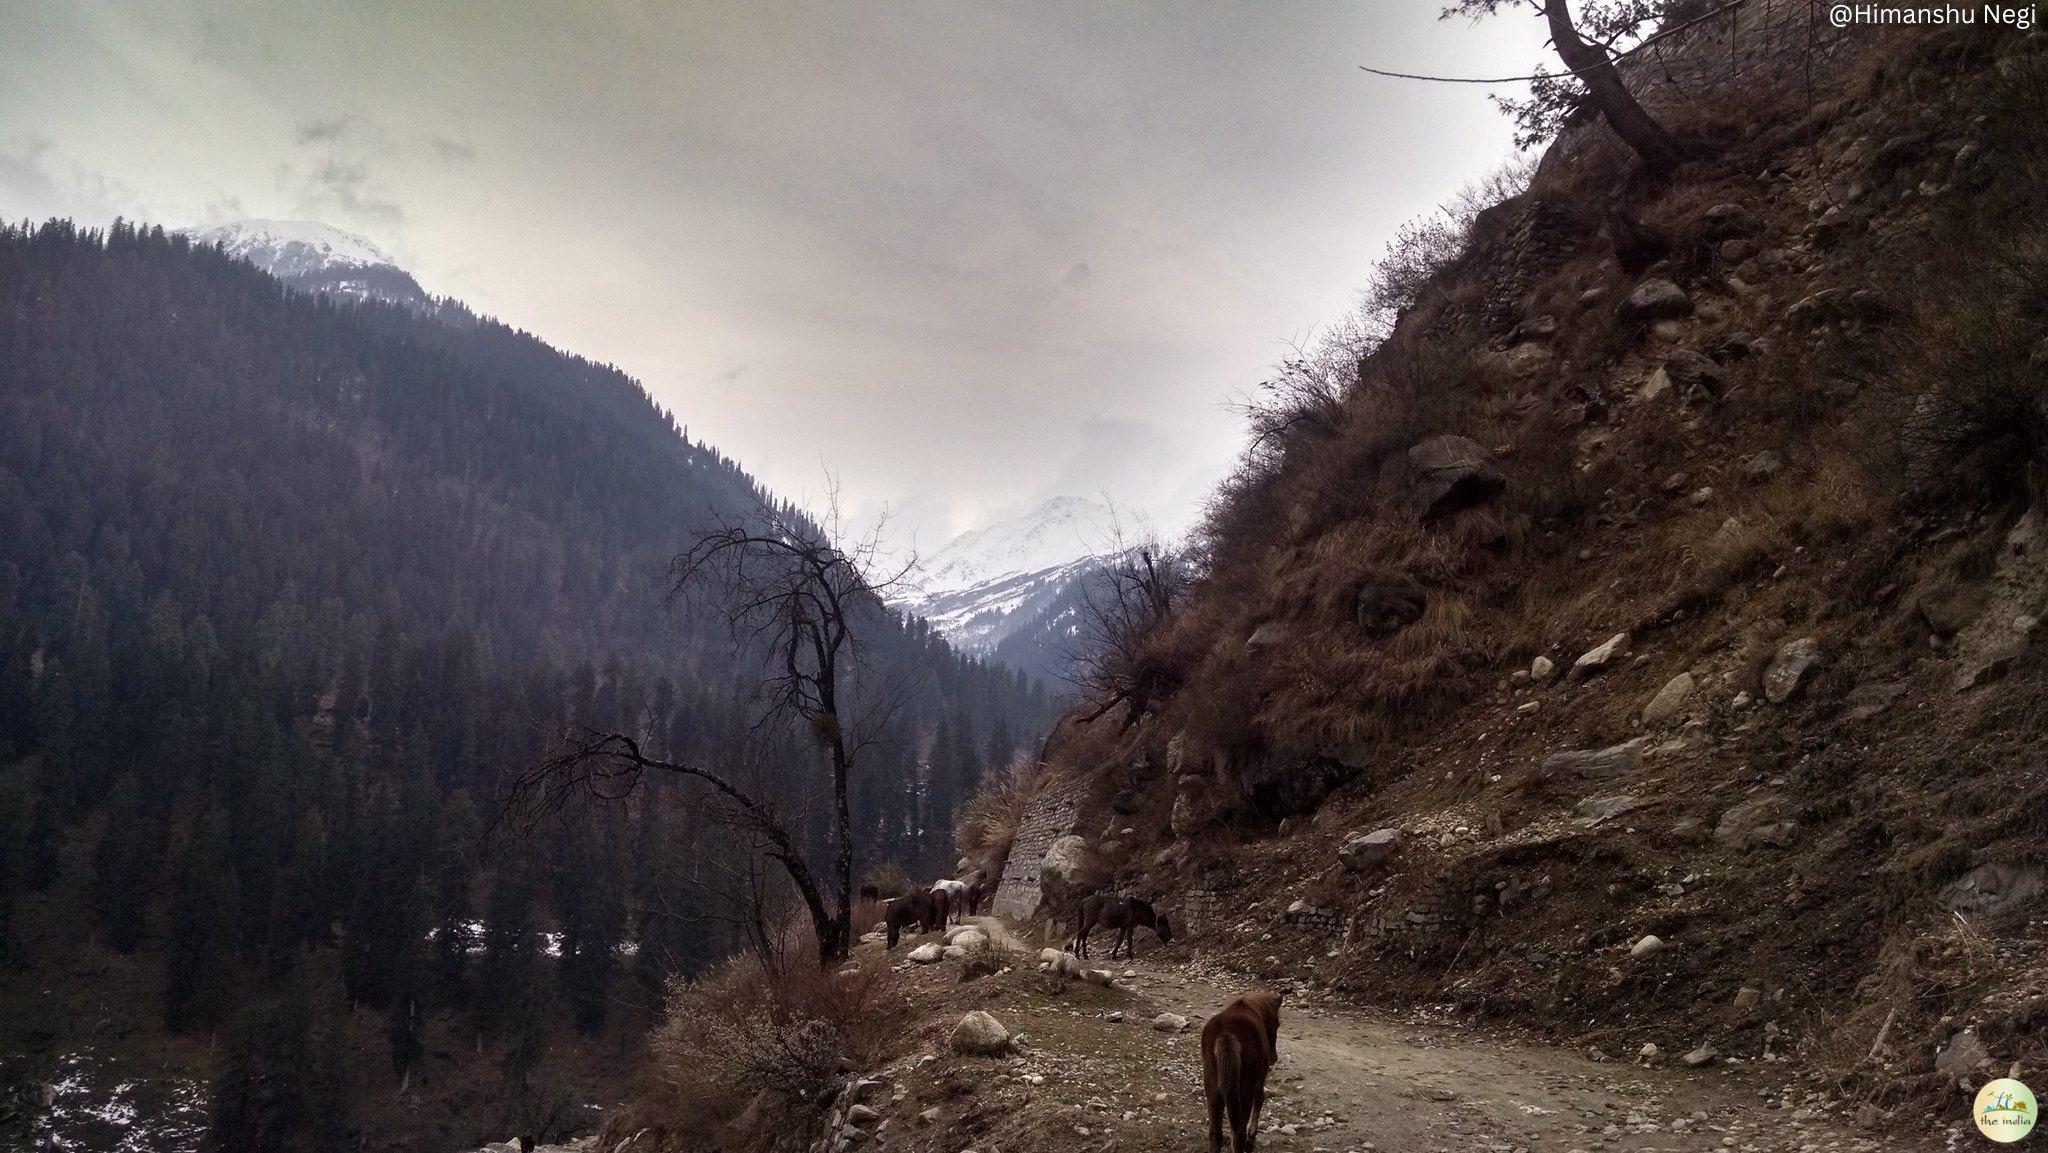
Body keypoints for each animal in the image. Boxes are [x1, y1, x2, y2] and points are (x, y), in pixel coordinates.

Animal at [1196, 991, 1277, 1153]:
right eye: (1277, 1025)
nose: (1274, 1058)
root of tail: (1226, 1035)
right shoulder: (1260, 1078)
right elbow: (1260, 1099)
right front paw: (1252, 1135)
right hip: (1244, 1090)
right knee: (1238, 1133)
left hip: (1213, 1088)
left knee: (1215, 1133)